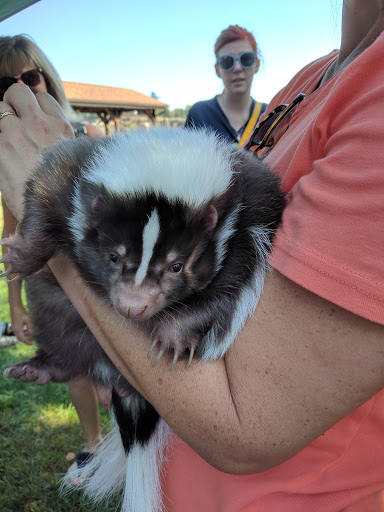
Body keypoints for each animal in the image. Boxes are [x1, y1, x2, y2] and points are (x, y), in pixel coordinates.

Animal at [2, 126, 284, 510]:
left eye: (177, 265)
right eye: (113, 257)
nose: (132, 307)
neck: (168, 153)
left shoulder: (253, 213)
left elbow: (229, 282)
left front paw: (173, 335)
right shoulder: (75, 169)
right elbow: (45, 189)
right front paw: (22, 256)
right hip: (56, 311)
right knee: (64, 339)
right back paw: (38, 368)